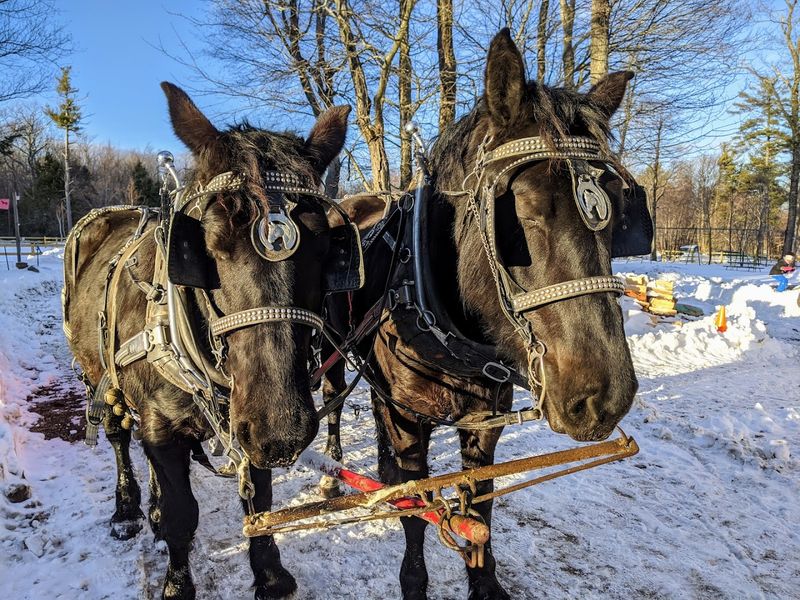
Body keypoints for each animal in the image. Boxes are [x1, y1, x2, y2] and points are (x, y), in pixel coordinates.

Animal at [62, 82, 350, 600]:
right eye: (208, 246)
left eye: (327, 248)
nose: (282, 428)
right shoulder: (166, 423)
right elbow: (182, 515)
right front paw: (177, 582)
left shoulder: (244, 419)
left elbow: (259, 499)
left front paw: (269, 574)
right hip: (97, 375)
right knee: (119, 435)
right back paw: (128, 508)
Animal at [319, 29, 639, 599]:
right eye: (521, 209)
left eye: (618, 212)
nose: (604, 398)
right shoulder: (409, 420)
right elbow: (418, 506)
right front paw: (413, 578)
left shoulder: (486, 420)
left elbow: (480, 506)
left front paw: (483, 579)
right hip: (339, 357)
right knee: (336, 405)